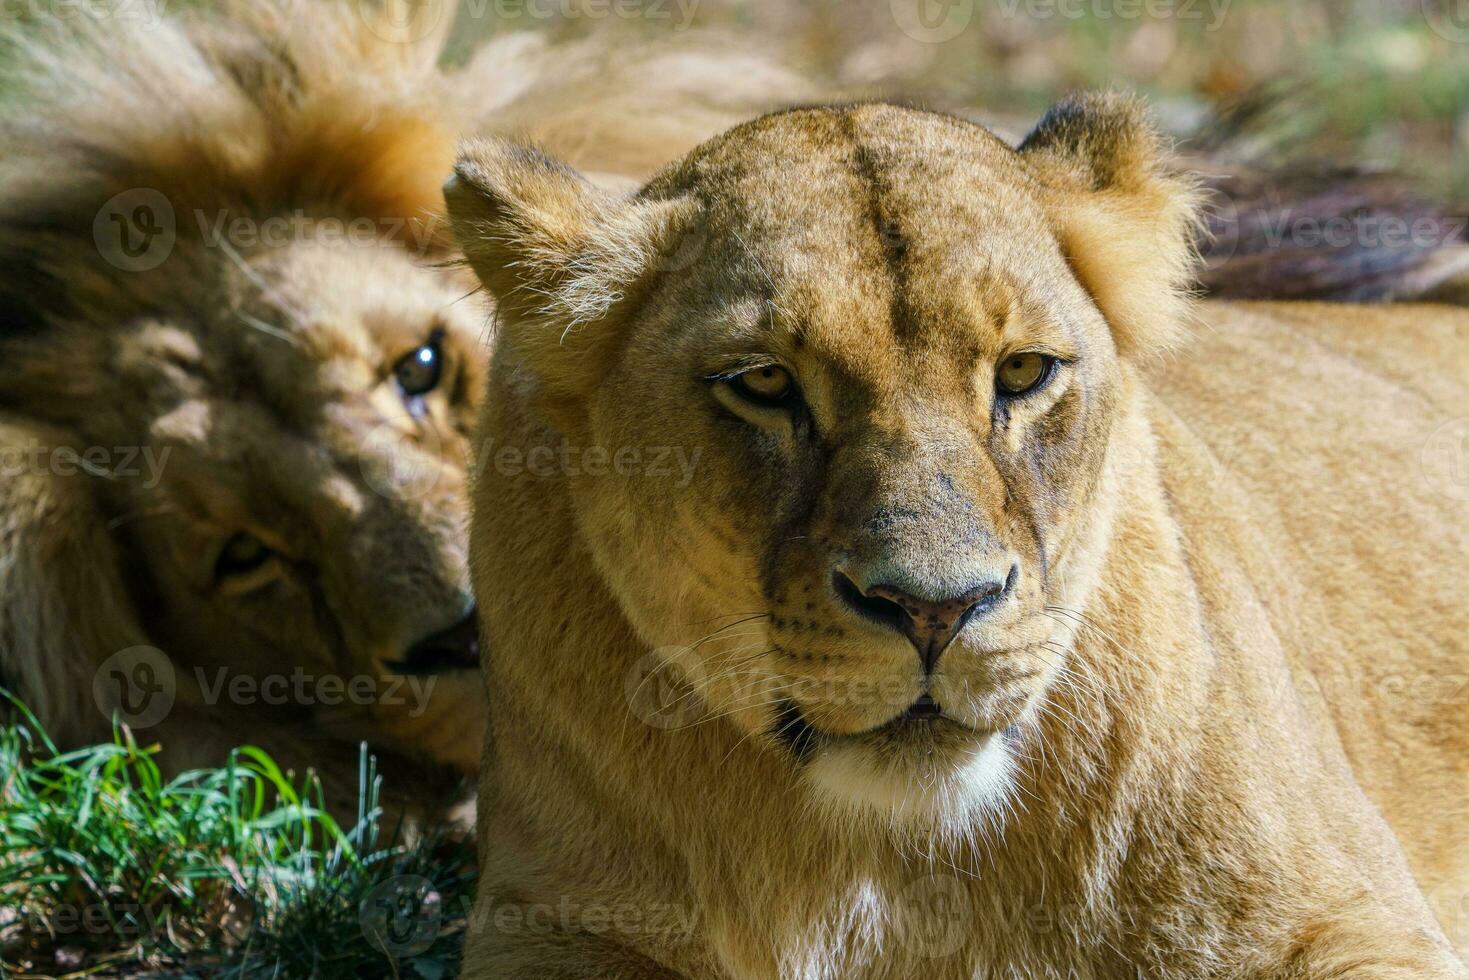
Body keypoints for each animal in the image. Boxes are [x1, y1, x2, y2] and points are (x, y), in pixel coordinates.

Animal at [446, 95, 1469, 975]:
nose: (935, 610)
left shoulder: (1340, 922)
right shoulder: (547, 921)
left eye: (1022, 371)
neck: (887, 862)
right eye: (764, 382)